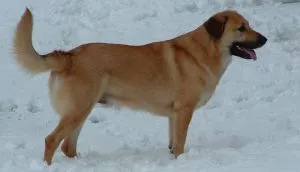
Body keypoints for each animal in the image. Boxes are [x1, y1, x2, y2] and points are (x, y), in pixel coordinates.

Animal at [12, 8, 268, 165]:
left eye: (249, 25)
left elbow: (173, 144)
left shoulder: (173, 115)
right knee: (51, 141)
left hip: (81, 112)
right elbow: (180, 145)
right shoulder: (184, 111)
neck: (204, 51)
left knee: (68, 147)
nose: (265, 39)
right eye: (241, 28)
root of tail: (69, 56)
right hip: (78, 111)